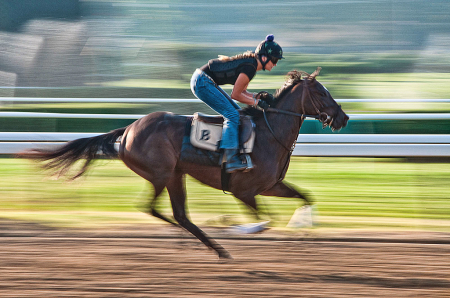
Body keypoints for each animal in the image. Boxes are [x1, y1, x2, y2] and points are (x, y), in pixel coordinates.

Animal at [22, 68, 350, 260]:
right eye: (321, 92)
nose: (343, 117)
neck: (270, 133)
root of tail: (128, 129)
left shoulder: (272, 185)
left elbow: (306, 197)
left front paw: (303, 230)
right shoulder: (244, 191)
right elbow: (265, 220)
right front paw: (234, 226)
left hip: (175, 175)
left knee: (178, 214)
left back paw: (209, 245)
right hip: (162, 173)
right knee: (157, 209)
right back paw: (206, 241)